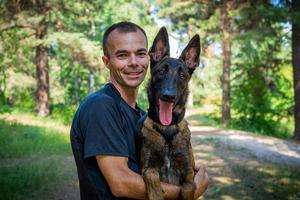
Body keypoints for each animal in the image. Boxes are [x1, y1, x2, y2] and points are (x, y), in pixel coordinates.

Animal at [137, 27, 200, 200]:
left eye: (182, 75)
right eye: (160, 71)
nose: (168, 96)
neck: (167, 128)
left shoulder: (189, 172)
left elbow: (188, 188)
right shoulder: (147, 167)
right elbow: (153, 179)